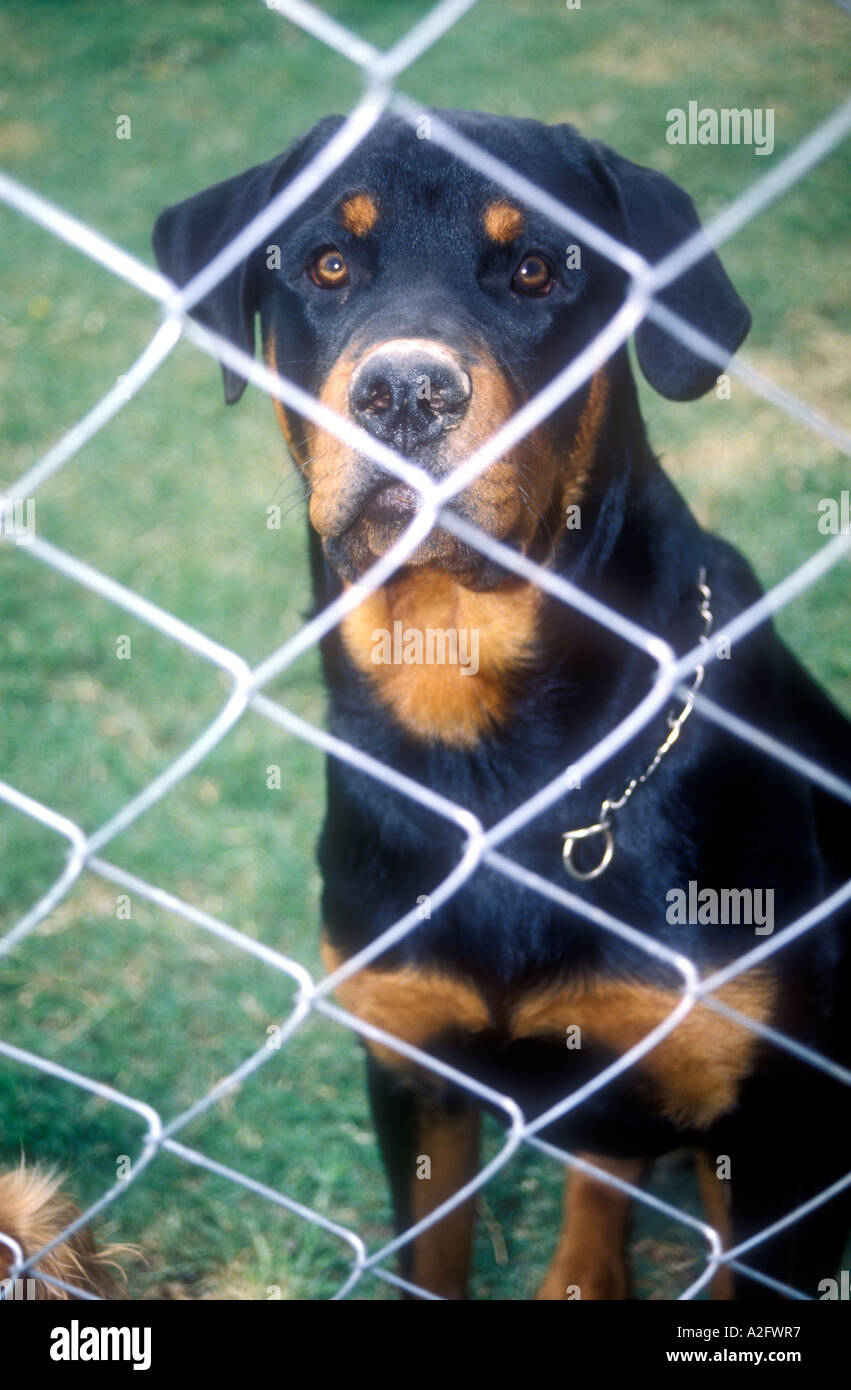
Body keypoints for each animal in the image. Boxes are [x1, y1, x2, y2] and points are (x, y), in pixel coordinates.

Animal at [154, 113, 851, 1295]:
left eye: (534, 269)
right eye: (325, 264)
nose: (403, 391)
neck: (485, 749)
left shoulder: (763, 1126)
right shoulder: (412, 1073)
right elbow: (430, 1258)